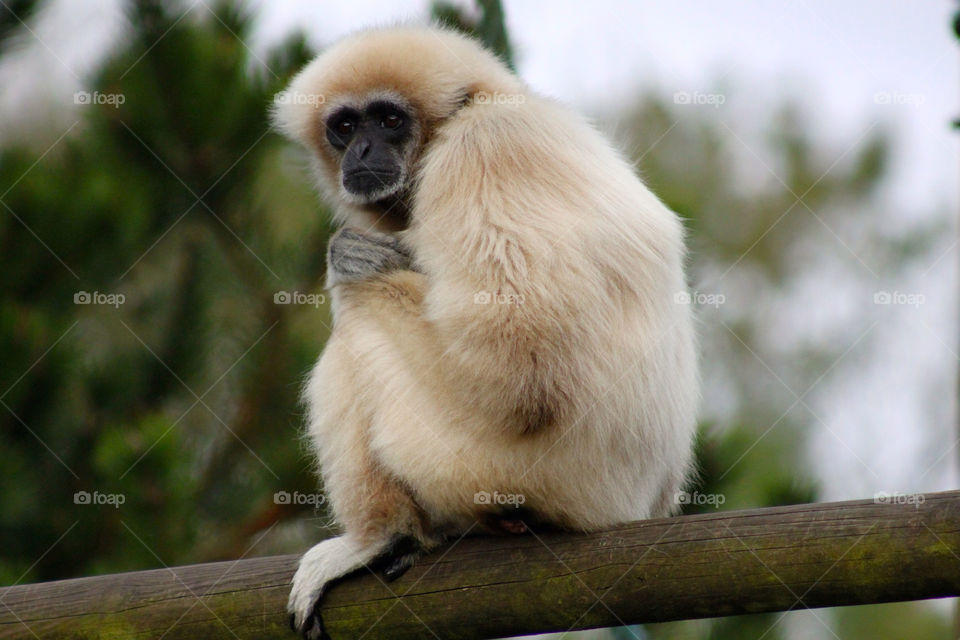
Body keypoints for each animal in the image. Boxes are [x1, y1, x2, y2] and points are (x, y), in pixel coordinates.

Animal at [273, 26, 699, 639]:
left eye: (389, 119)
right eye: (345, 126)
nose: (363, 151)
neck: (473, 111)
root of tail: (632, 507)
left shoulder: (485, 150)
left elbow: (522, 365)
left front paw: (356, 259)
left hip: (506, 469)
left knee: (358, 325)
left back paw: (380, 538)